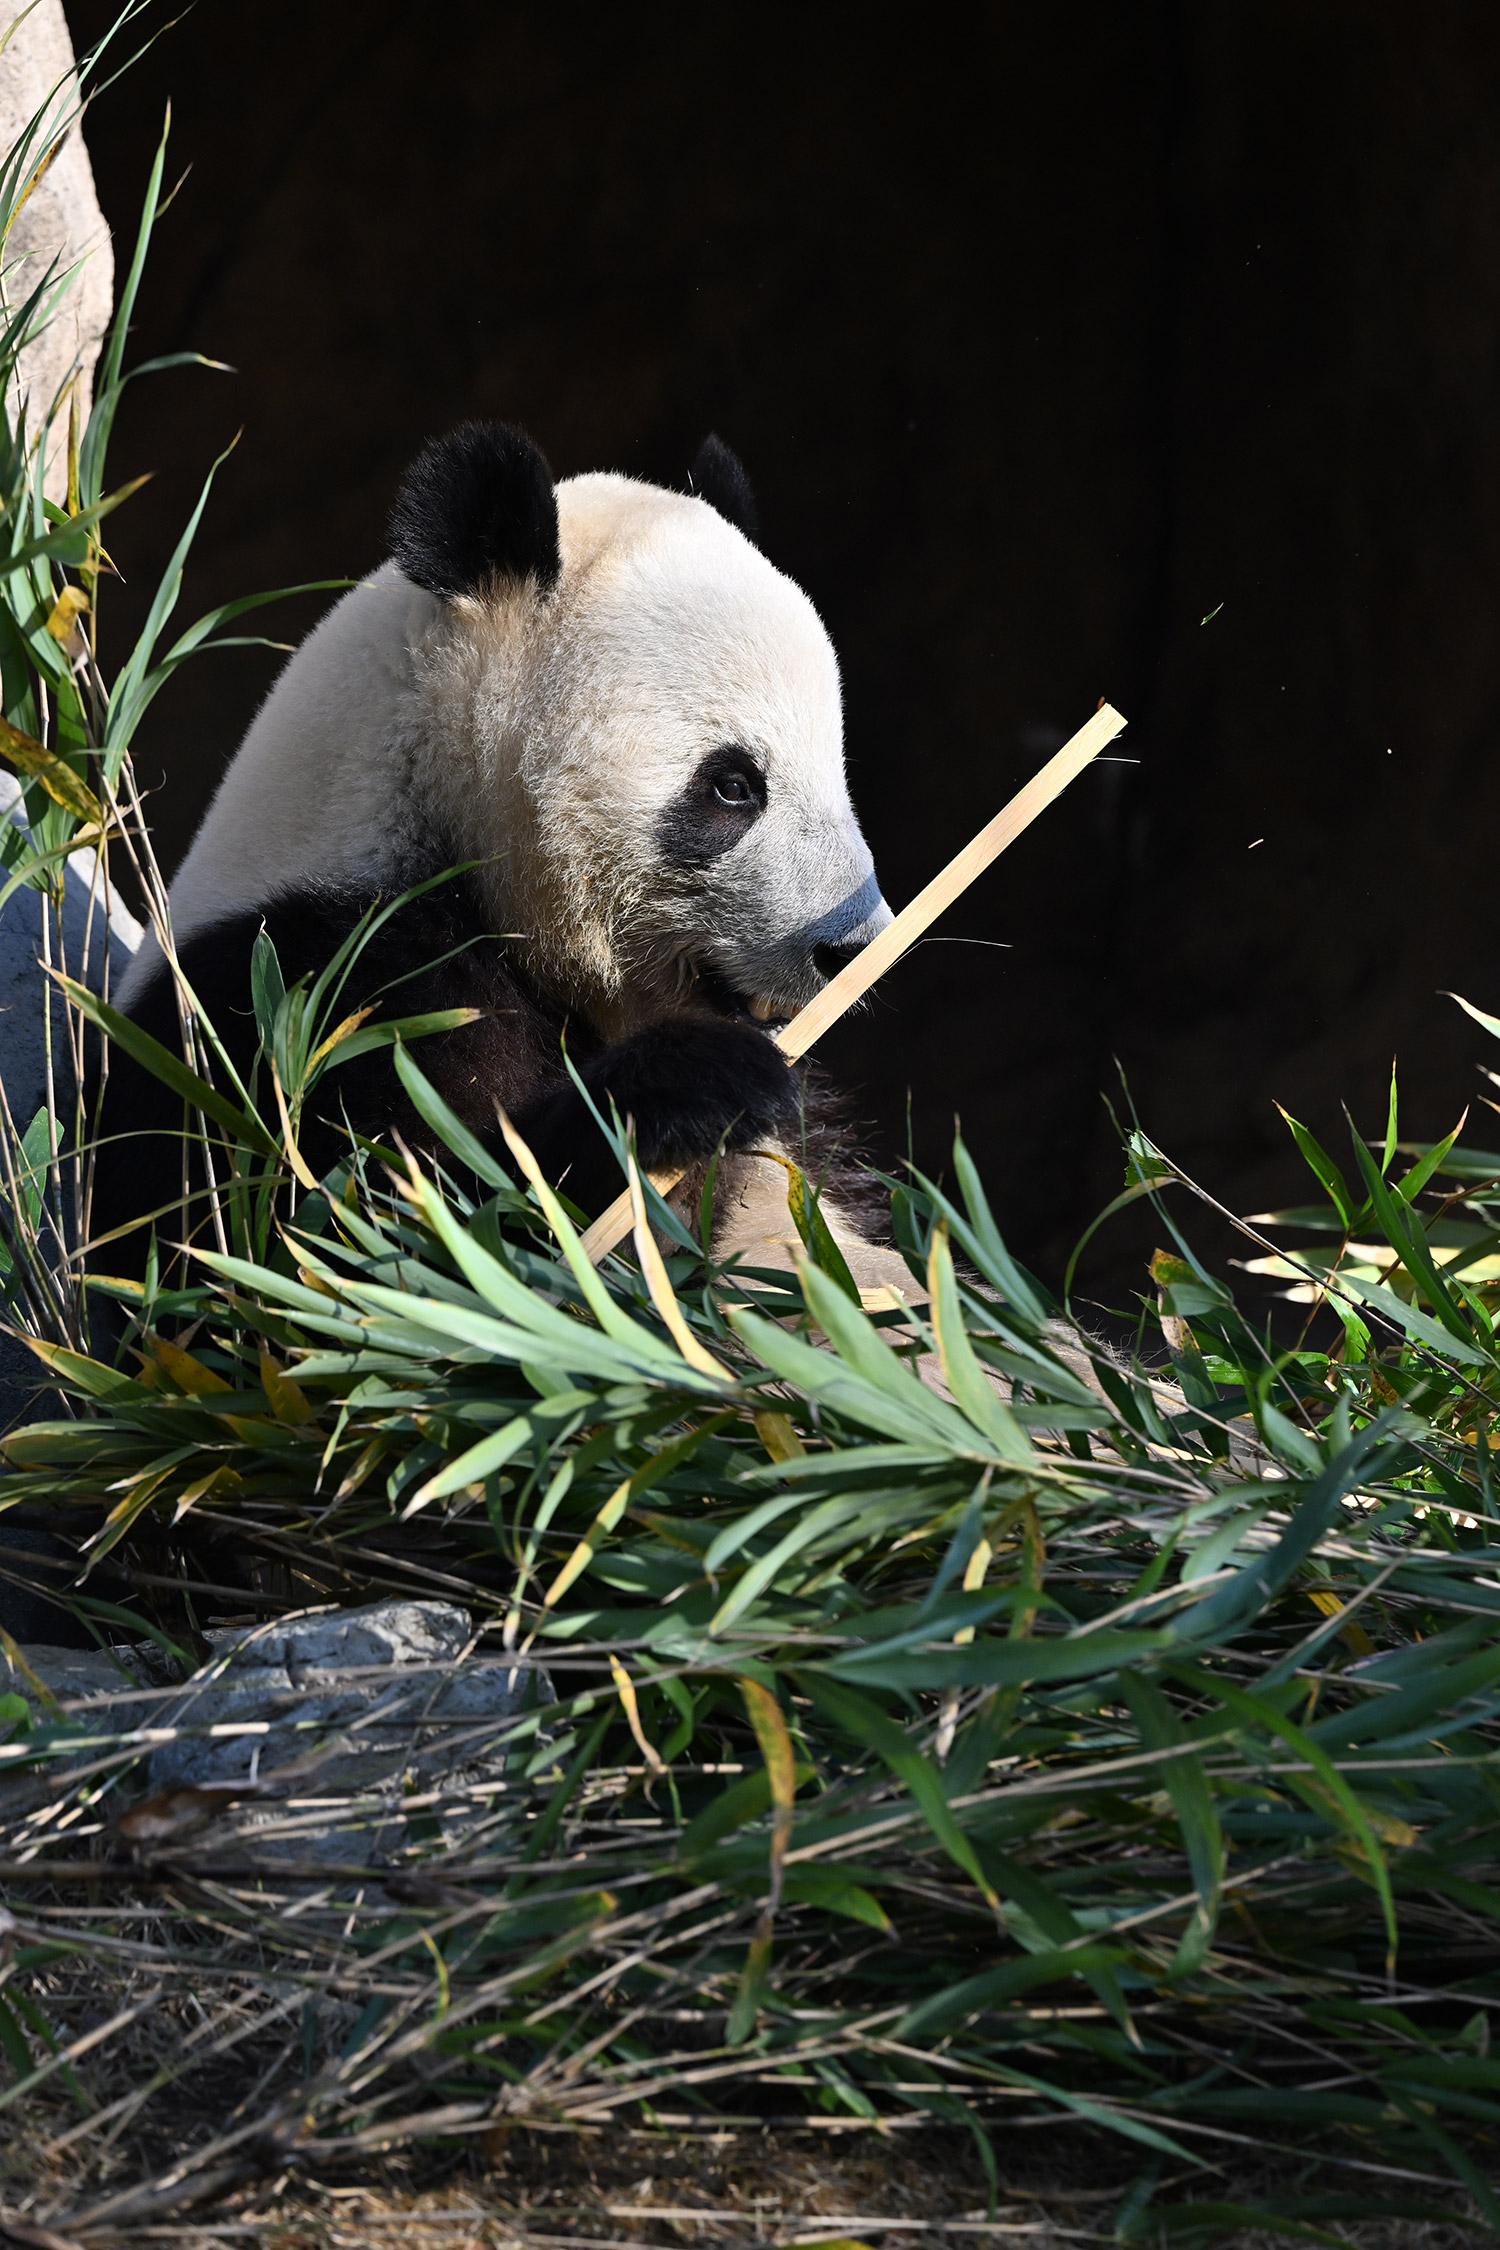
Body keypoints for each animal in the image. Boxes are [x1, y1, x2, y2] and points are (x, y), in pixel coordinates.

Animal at [98, 424, 896, 1275]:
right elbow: (343, 1242)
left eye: (836, 763)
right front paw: (701, 1083)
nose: (848, 948)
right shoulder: (292, 995)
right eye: (734, 786)